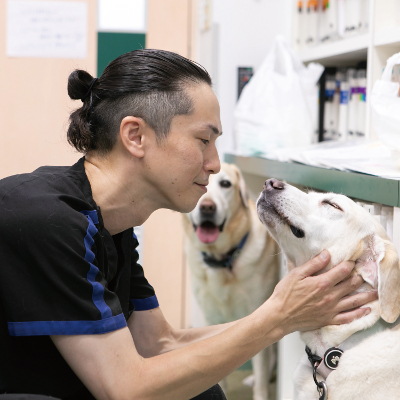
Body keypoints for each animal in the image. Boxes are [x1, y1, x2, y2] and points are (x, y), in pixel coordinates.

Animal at [184, 162, 280, 400]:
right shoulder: (211, 318)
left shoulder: (260, 317)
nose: (207, 207)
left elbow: (261, 380)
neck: (222, 260)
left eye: (225, 184)